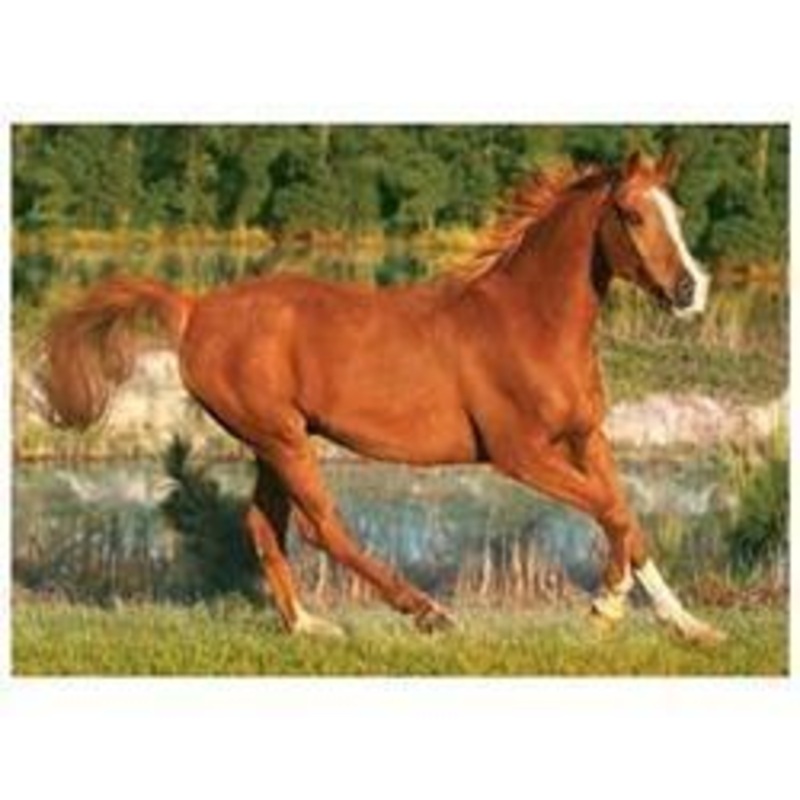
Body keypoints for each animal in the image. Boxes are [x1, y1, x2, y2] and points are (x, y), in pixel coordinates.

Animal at [40, 151, 724, 644]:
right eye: (632, 214)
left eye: (677, 212)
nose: (691, 291)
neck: (530, 322)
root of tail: (195, 308)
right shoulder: (520, 453)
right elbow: (611, 511)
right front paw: (605, 606)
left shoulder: (587, 436)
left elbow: (628, 517)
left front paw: (690, 627)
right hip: (282, 439)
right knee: (323, 528)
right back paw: (427, 613)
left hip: (272, 441)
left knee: (265, 525)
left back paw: (309, 627)